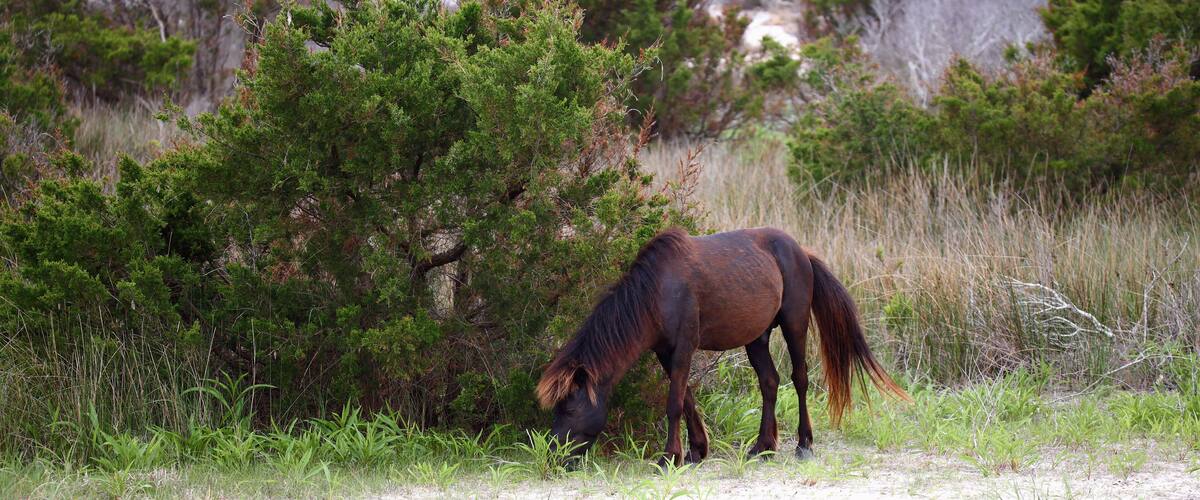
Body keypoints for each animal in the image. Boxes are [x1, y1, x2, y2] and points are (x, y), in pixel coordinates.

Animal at [536, 227, 909, 466]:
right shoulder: (666, 352)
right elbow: (686, 398)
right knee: (769, 382)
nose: (553, 456)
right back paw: (763, 447)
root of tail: (801, 252)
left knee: (800, 379)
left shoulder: (684, 346)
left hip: (794, 326)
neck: (657, 292)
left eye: (569, 409)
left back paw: (804, 444)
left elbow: (673, 403)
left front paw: (669, 457)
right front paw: (696, 451)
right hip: (757, 338)